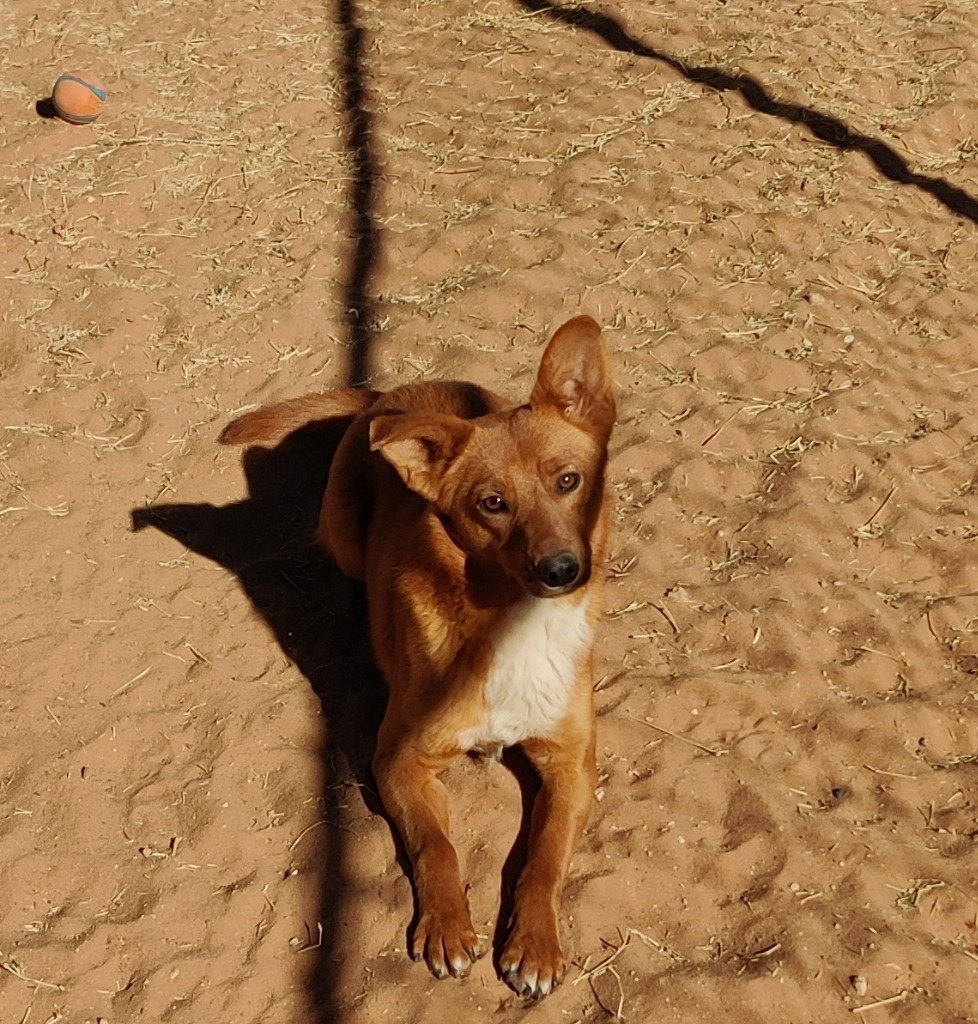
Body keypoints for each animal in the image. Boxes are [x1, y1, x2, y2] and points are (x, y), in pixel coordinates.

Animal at [225, 315, 614, 995]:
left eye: (568, 481)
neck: (513, 623)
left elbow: (543, 857)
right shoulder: (398, 759)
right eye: (492, 503)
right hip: (343, 532)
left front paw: (535, 943)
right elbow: (437, 845)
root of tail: (388, 397)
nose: (562, 570)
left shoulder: (571, 765)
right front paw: (447, 926)